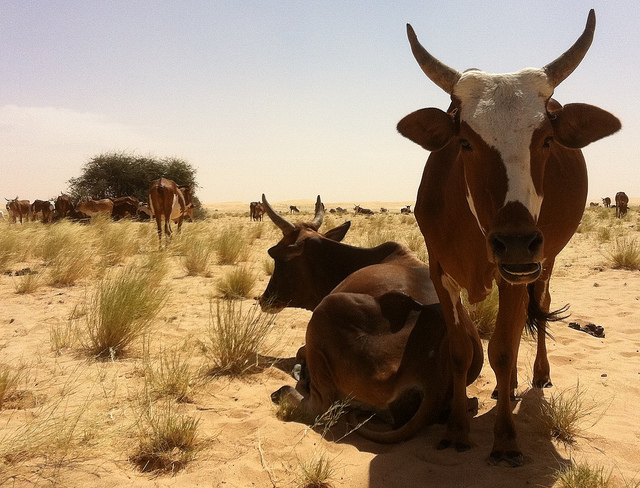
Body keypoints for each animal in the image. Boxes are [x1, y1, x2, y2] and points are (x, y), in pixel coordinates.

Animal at [260, 195, 483, 441]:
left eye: (277, 256)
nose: (264, 299)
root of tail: (434, 376)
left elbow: (301, 352)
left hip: (325, 312)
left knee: (319, 405)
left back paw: (288, 387)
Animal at [397, 10, 620, 465]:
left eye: (546, 139)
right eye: (465, 141)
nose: (515, 241)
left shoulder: (519, 270)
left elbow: (501, 347)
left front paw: (504, 440)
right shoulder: (439, 270)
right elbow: (460, 350)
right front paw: (457, 429)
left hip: (543, 261)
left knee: (533, 315)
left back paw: (533, 377)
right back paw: (508, 386)